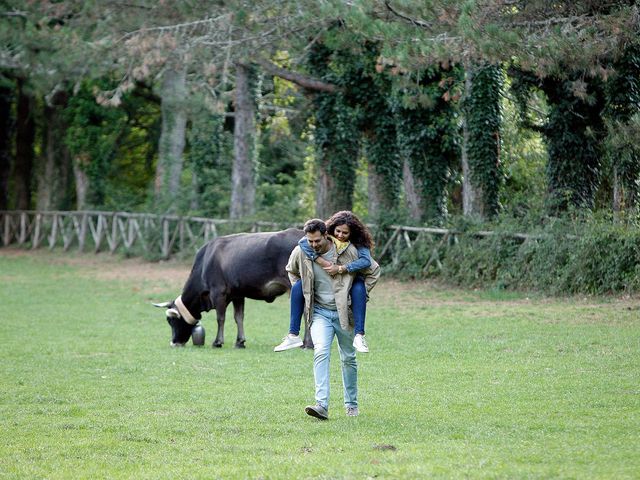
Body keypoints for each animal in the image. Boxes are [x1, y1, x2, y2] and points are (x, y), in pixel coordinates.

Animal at [155, 229, 304, 348]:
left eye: (171, 321)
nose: (174, 342)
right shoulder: (238, 295)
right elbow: (239, 317)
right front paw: (240, 342)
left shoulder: (218, 293)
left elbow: (220, 318)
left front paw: (218, 342)